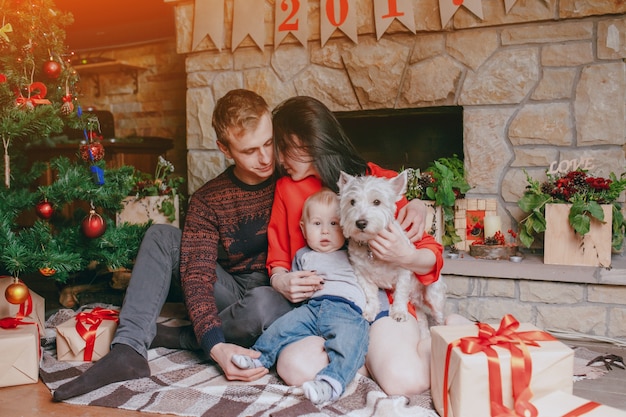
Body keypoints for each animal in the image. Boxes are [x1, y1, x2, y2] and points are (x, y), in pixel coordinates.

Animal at [336, 171, 444, 326]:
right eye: (352, 202)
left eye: (377, 202)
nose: (361, 223)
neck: (369, 245)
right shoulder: (362, 274)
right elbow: (370, 294)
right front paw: (371, 311)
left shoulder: (403, 271)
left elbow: (400, 293)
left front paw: (398, 312)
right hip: (419, 308)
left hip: (433, 296)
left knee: (440, 317)